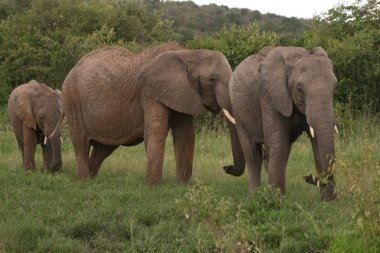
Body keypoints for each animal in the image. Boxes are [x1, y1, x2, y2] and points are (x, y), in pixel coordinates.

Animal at [224, 46, 336, 202]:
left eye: (334, 87)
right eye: (300, 89)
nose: (307, 177)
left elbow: (317, 144)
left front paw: (329, 204)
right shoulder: (269, 97)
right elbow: (278, 143)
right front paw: (277, 202)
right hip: (238, 110)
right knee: (253, 155)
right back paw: (254, 197)